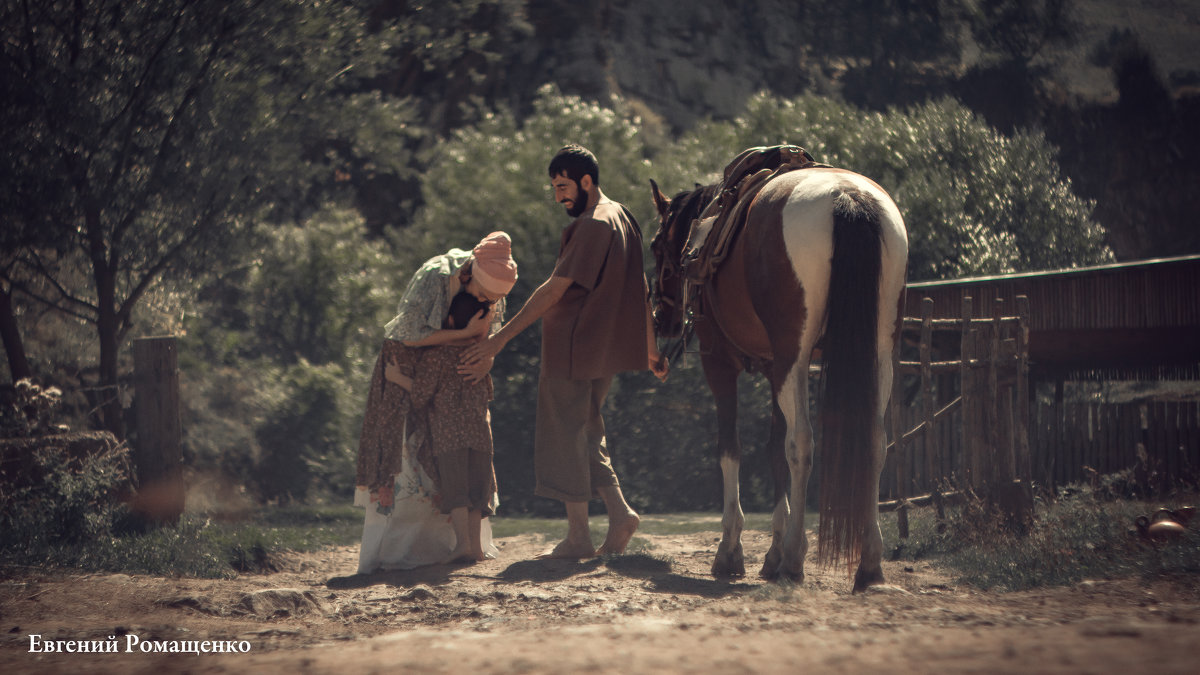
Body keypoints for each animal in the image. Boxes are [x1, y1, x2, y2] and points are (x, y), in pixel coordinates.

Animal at [652, 158, 902, 588]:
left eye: (654, 247)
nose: (659, 319)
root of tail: (847, 196)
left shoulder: (719, 365)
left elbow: (731, 449)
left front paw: (731, 550)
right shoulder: (774, 369)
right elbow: (773, 451)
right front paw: (771, 552)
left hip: (795, 357)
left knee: (802, 442)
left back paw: (795, 559)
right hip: (875, 357)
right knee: (874, 441)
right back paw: (869, 563)